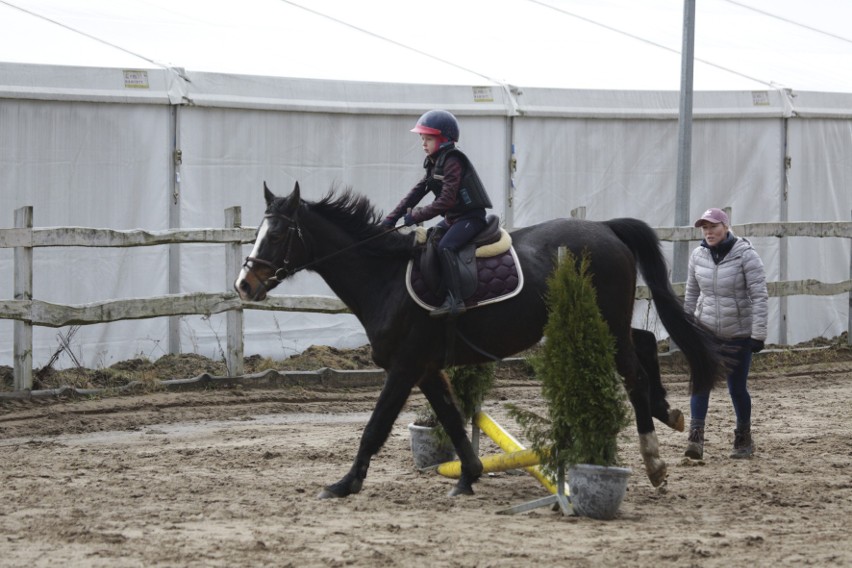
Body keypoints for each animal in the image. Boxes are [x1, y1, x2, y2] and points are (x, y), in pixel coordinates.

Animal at [236, 184, 724, 500]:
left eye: (276, 235)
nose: (245, 285)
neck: (386, 278)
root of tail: (605, 228)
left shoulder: (405, 366)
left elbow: (375, 426)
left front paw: (345, 484)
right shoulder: (427, 369)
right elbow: (452, 419)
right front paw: (468, 475)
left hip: (605, 324)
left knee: (634, 376)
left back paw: (654, 462)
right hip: (610, 325)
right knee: (646, 341)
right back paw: (669, 412)